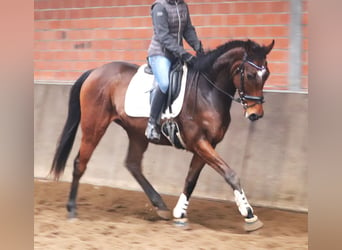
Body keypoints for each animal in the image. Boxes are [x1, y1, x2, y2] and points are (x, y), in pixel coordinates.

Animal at [51, 39, 276, 232]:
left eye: (266, 75)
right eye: (249, 75)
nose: (255, 114)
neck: (207, 91)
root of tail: (95, 71)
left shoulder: (207, 144)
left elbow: (191, 179)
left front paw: (180, 213)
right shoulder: (199, 142)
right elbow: (230, 174)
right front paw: (249, 215)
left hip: (137, 134)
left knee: (133, 164)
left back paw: (160, 206)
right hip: (94, 127)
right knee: (80, 162)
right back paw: (72, 209)